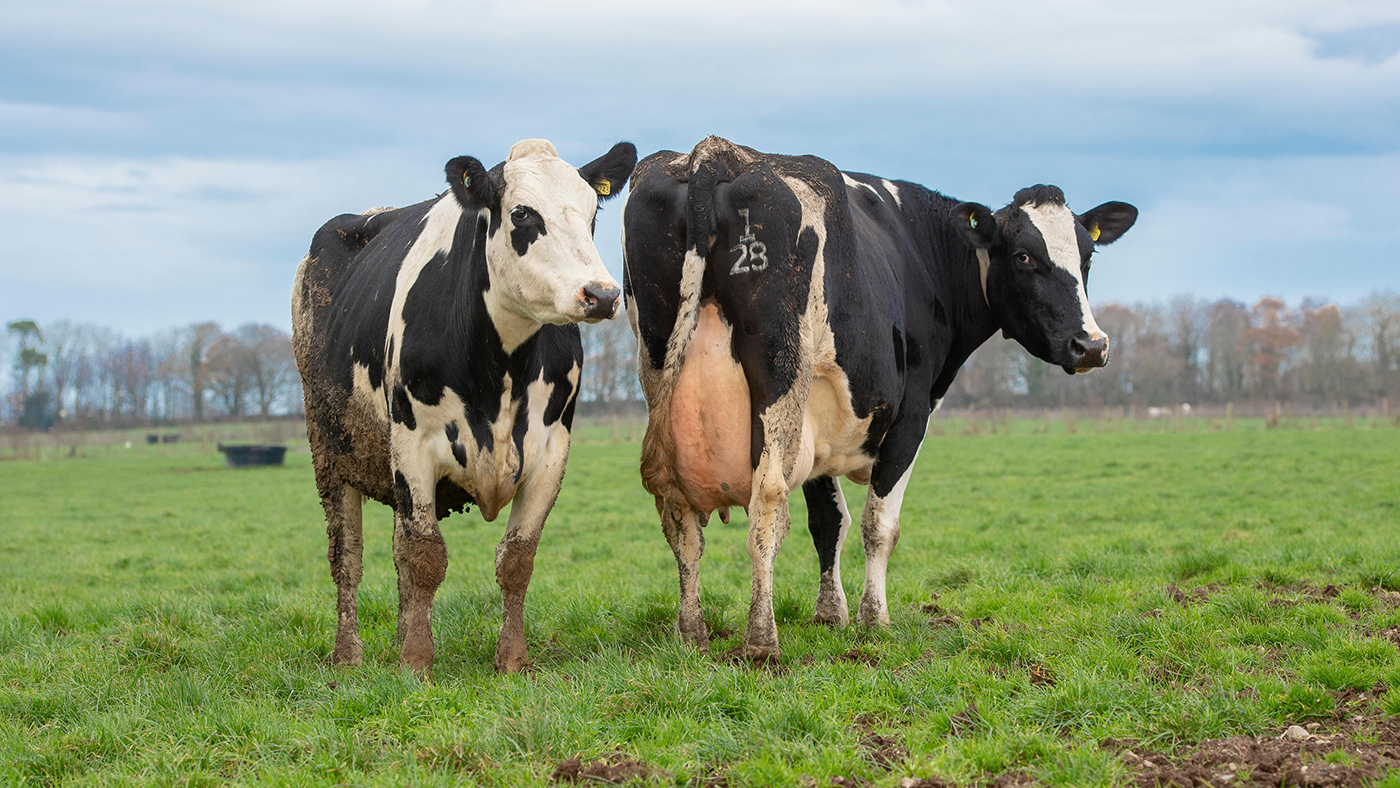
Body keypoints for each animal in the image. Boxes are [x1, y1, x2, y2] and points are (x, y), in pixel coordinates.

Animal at [292, 138, 637, 675]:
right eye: (521, 214)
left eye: (592, 213)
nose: (601, 294)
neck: (501, 370)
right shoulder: (412, 445)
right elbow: (427, 556)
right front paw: (417, 663)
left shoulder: (551, 451)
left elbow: (516, 559)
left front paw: (511, 659)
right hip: (329, 449)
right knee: (347, 556)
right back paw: (348, 655)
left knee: (398, 550)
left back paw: (399, 634)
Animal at [622, 137, 1136, 660]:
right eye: (1024, 257)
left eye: (1088, 255)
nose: (1091, 345)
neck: (921, 249)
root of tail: (716, 153)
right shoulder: (909, 419)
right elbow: (878, 524)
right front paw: (874, 620)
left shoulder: (819, 430)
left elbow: (828, 523)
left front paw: (831, 615)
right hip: (779, 374)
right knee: (766, 502)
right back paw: (762, 640)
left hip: (664, 372)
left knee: (681, 518)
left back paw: (692, 632)